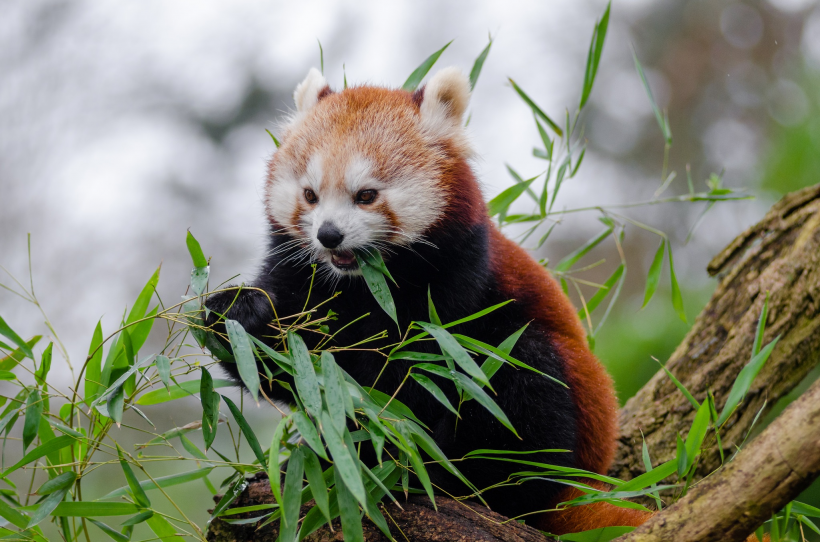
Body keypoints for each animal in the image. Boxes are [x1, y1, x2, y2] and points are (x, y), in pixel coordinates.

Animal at [208, 67, 652, 536]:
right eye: (310, 195)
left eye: (366, 195)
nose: (328, 235)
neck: (363, 284)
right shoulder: (301, 273)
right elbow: (295, 368)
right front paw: (237, 315)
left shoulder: (455, 282)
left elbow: (414, 373)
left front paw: (386, 442)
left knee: (521, 376)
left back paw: (448, 477)